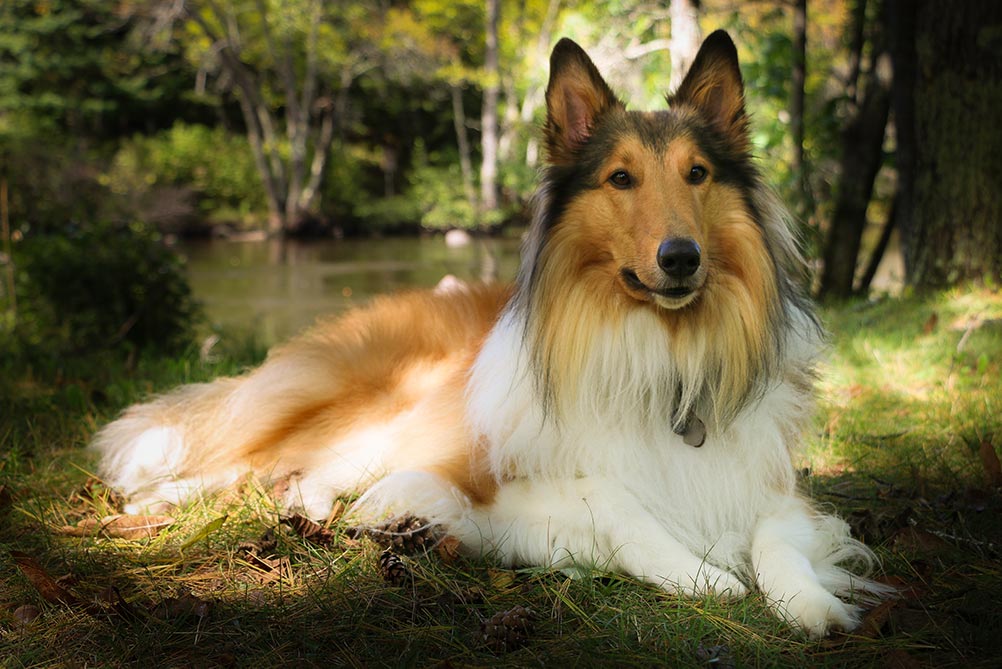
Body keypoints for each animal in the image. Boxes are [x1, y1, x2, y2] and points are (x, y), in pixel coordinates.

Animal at [94, 31, 889, 636]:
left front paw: (814, 604)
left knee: (301, 476)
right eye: (621, 178)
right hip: (371, 419)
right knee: (248, 460)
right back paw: (156, 501)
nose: (681, 258)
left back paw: (318, 512)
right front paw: (703, 574)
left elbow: (777, 538)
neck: (661, 351)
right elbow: (617, 504)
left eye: (697, 173)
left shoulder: (772, 487)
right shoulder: (489, 489)